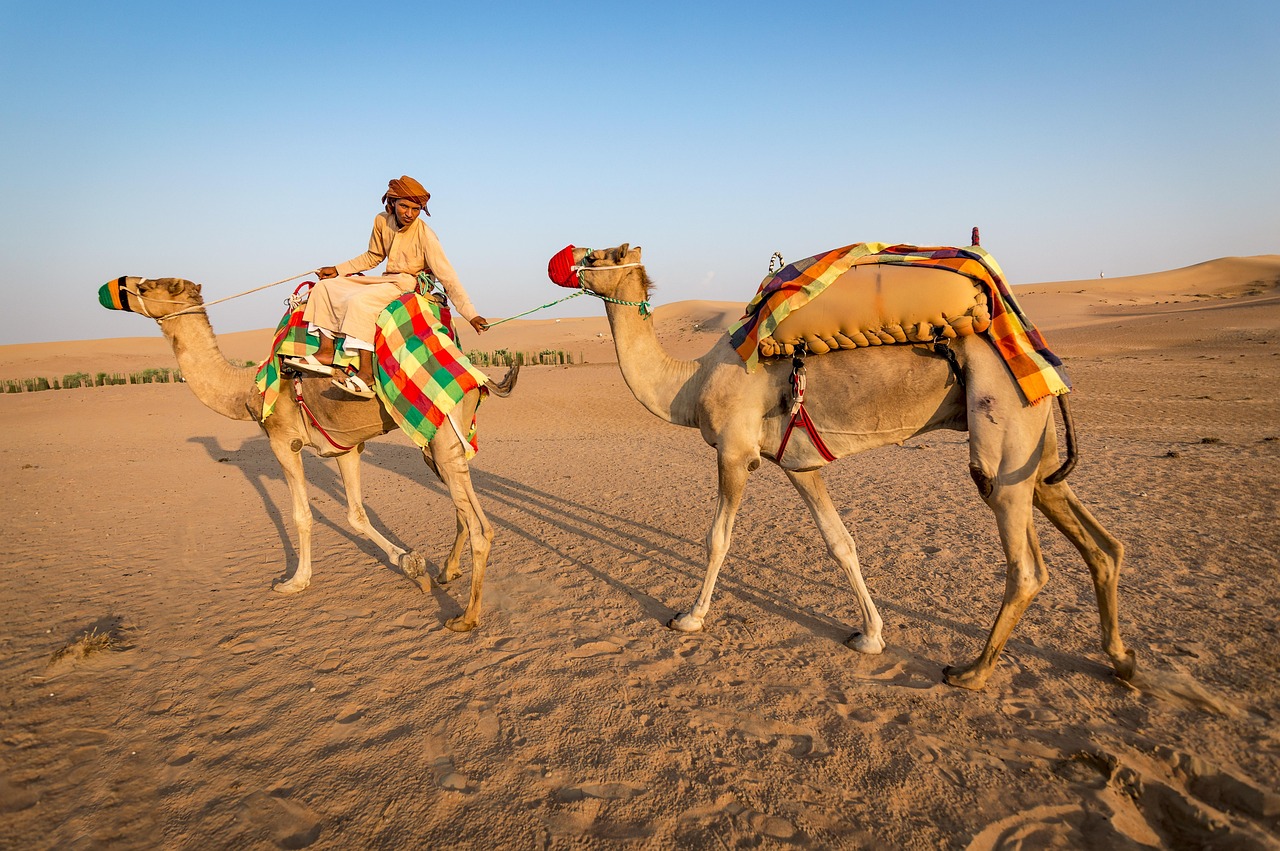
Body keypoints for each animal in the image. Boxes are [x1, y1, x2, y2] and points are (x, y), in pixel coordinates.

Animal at [106, 276, 517, 631]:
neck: (247, 390)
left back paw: (466, 618)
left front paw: (295, 581)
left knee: (481, 529)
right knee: (463, 510)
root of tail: (478, 374)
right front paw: (411, 563)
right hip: (439, 443)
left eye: (147, 286)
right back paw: (446, 571)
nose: (119, 285)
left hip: (441, 430)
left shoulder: (283, 441)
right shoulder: (346, 447)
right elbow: (356, 514)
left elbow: (301, 515)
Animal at [570, 244, 1136, 690]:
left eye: (598, 256)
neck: (688, 385)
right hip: (1036, 445)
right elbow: (839, 541)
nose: (567, 260)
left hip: (1002, 426)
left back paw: (972, 672)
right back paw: (1121, 660)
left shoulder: (733, 452)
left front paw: (689, 617)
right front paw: (871, 636)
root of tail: (1030, 344)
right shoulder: (797, 464)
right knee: (1100, 543)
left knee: (1025, 564)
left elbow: (717, 539)